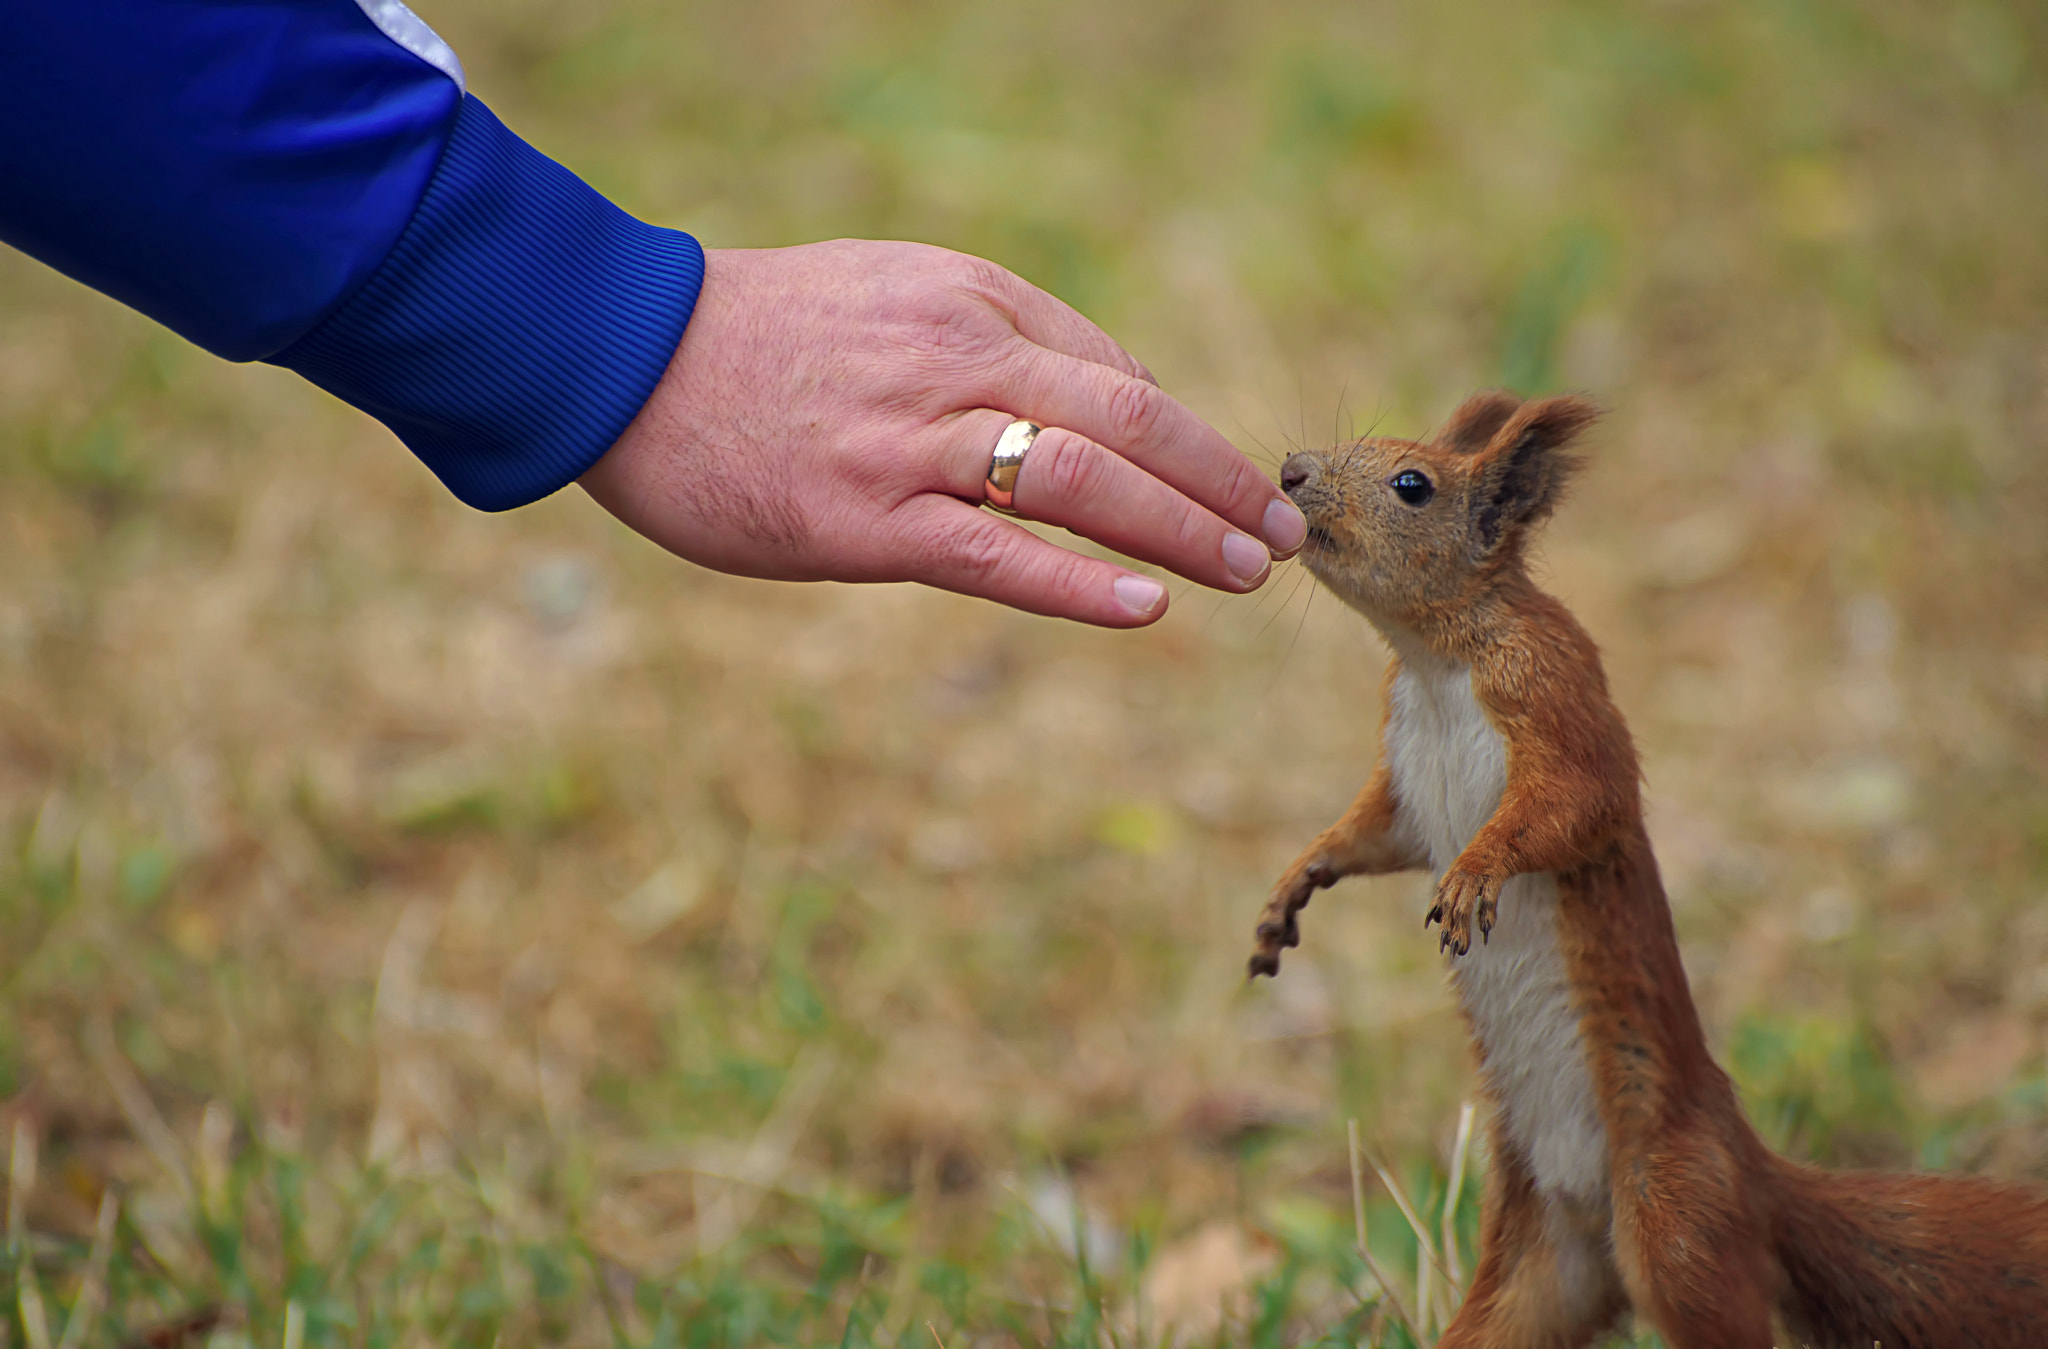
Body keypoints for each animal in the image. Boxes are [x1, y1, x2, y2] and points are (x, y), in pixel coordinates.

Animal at [1246, 390, 2048, 1349]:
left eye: (1412, 484)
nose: (1292, 470)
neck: (1437, 661)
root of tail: (1749, 1172)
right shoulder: (1402, 768)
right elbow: (1374, 832)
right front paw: (1296, 881)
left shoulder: (1556, 697)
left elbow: (1573, 807)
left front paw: (1477, 868)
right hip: (1536, 1275)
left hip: (1677, 1224)